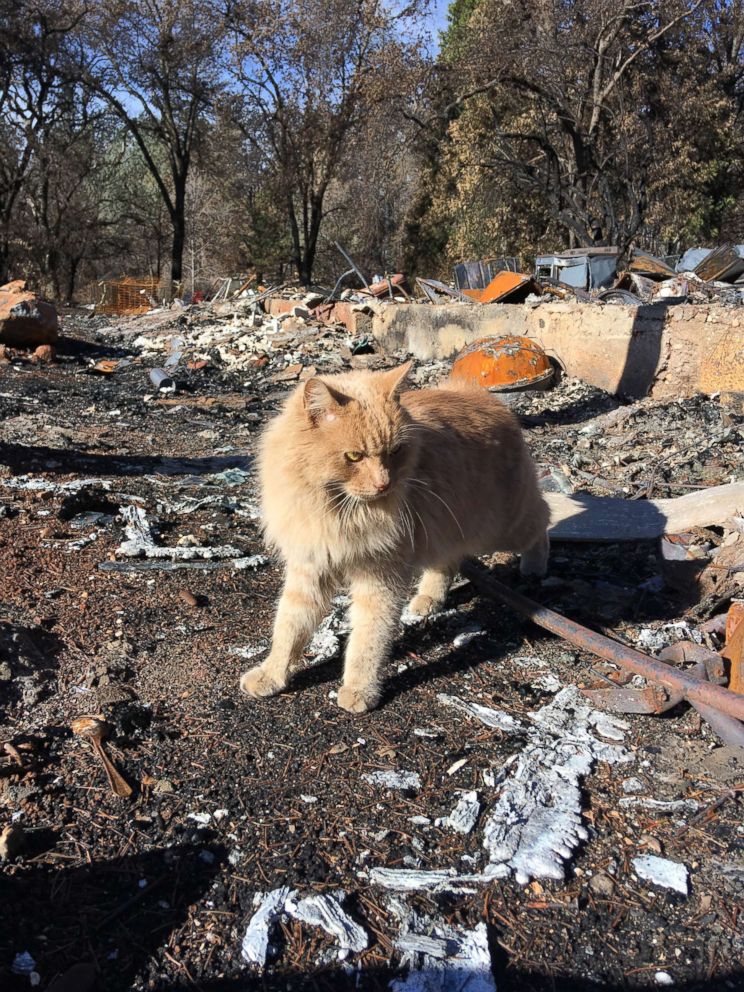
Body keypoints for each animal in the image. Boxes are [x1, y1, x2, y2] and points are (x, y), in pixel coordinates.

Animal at [241, 364, 548, 712]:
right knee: (449, 559)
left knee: (545, 516)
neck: (337, 510)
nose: (383, 484)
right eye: (354, 456)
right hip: (452, 528)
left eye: (395, 452)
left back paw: (534, 567)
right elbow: (289, 628)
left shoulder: (380, 578)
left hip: (501, 527)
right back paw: (429, 599)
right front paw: (271, 675)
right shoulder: (309, 567)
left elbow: (368, 640)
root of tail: (481, 396)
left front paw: (360, 689)